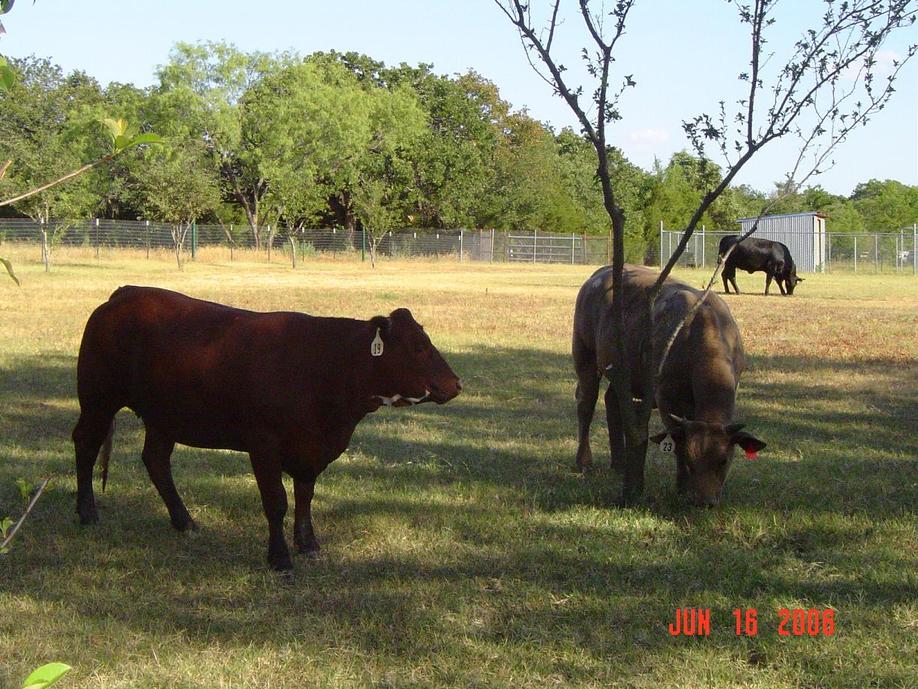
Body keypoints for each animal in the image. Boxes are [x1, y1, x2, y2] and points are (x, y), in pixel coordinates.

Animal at [73, 284, 464, 568]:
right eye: (418, 346)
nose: (455, 384)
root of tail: (124, 294)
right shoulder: (264, 444)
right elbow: (276, 501)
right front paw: (279, 559)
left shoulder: (311, 448)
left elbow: (305, 496)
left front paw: (308, 544)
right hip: (98, 399)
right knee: (86, 445)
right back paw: (87, 512)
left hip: (163, 417)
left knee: (155, 461)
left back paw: (185, 522)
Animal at [576, 264, 760, 506]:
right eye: (690, 460)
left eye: (723, 460)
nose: (705, 501)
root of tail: (598, 274)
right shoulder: (667, 399)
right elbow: (676, 439)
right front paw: (681, 488)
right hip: (584, 353)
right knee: (586, 402)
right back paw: (583, 461)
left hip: (621, 373)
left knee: (613, 402)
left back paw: (620, 464)